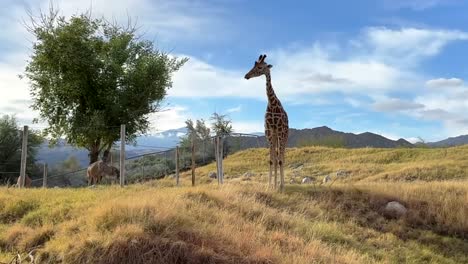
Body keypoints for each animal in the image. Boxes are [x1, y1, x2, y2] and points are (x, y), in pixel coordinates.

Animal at [245, 54, 288, 192]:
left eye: (260, 67)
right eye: (253, 65)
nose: (246, 76)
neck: (272, 104)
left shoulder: (279, 130)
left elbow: (279, 160)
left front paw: (281, 186)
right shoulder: (269, 131)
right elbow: (271, 160)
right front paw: (270, 186)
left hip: (284, 135)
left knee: (282, 157)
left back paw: (282, 184)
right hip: (274, 136)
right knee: (276, 156)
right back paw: (275, 184)